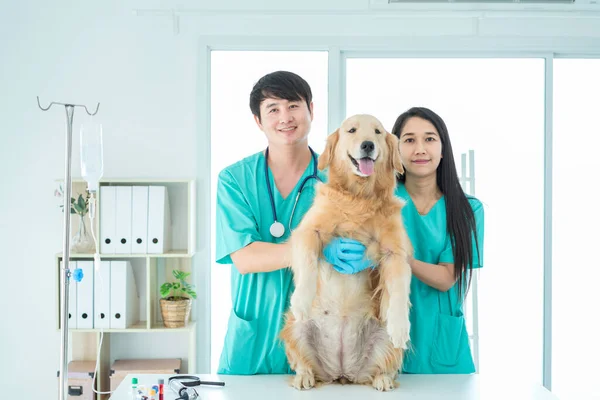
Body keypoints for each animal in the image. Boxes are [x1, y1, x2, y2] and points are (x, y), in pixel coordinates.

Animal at [282, 112, 412, 390]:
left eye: (377, 132)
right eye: (352, 130)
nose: (368, 145)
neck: (359, 197)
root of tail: (342, 372)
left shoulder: (395, 253)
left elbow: (398, 290)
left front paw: (400, 326)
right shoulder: (307, 231)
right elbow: (308, 264)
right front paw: (301, 299)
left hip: (382, 335)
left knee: (384, 365)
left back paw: (383, 378)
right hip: (295, 329)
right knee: (301, 361)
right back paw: (304, 376)